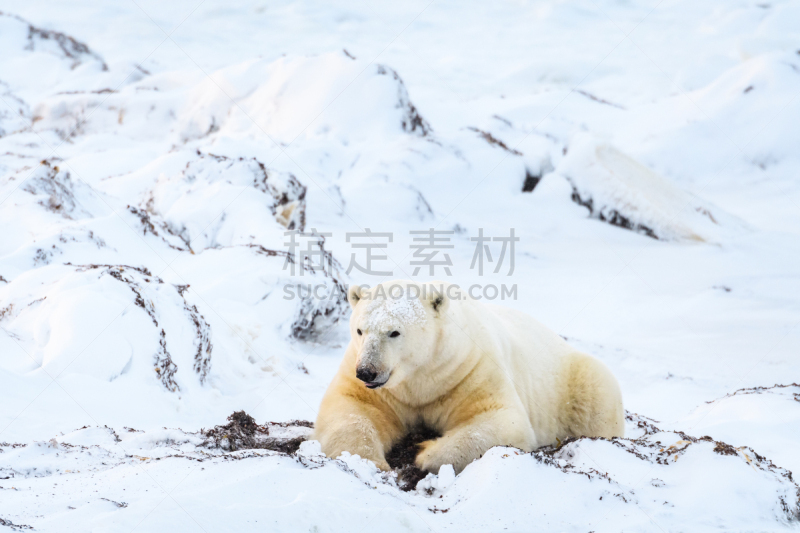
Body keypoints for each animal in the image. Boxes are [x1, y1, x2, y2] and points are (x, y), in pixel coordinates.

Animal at [314, 280, 624, 472]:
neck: (420, 376)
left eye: (394, 332)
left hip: (575, 379)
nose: (367, 371)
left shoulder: (467, 371)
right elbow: (353, 410)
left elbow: (501, 420)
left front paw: (426, 454)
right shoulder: (381, 388)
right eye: (360, 330)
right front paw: (370, 460)